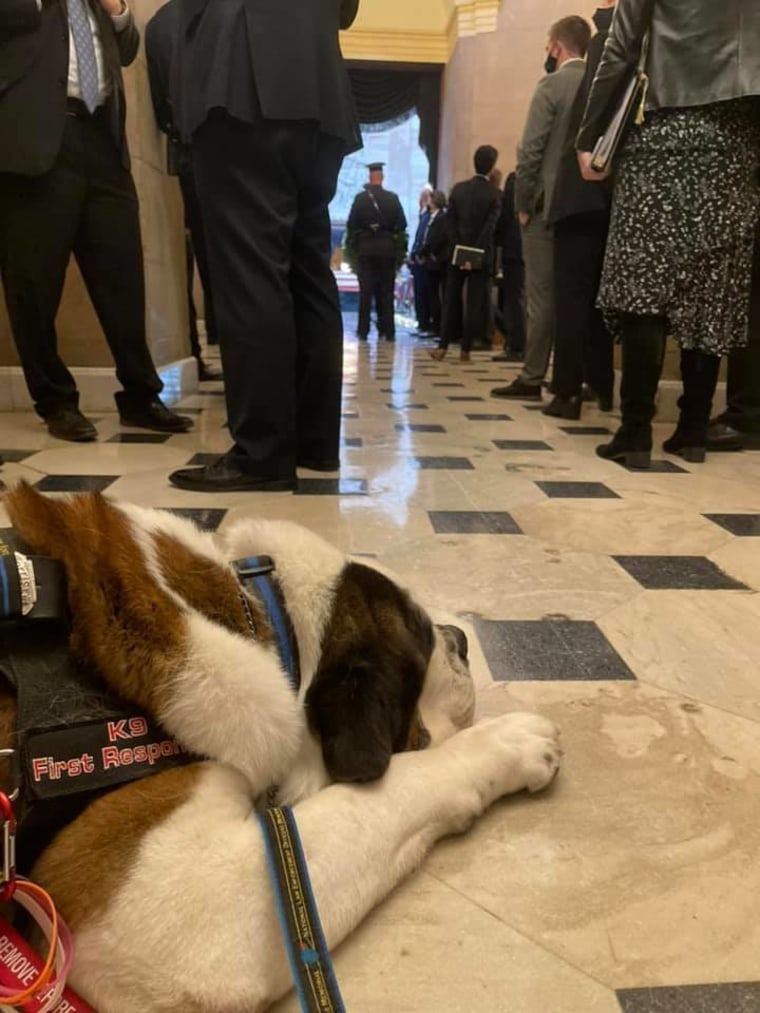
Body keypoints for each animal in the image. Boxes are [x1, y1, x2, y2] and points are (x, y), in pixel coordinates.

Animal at [0, 484, 559, 1013]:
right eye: (422, 635)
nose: (460, 638)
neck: (248, 611)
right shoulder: (165, 909)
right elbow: (393, 791)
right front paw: (508, 742)